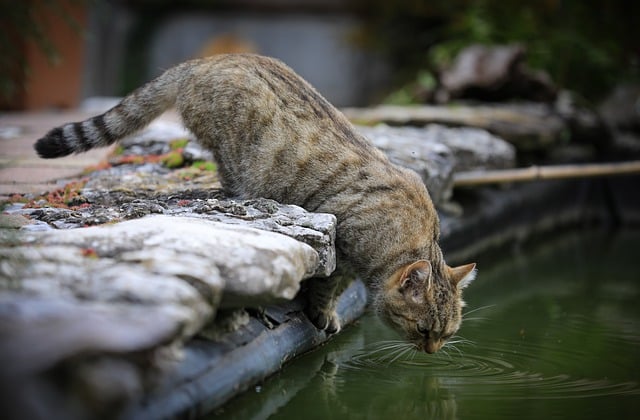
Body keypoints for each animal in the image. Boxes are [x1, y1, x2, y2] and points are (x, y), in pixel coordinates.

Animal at [35, 54, 476, 352]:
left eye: (447, 334)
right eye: (423, 330)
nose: (432, 352)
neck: (408, 240)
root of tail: (205, 61)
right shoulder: (343, 247)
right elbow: (328, 285)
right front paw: (325, 312)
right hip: (236, 153)